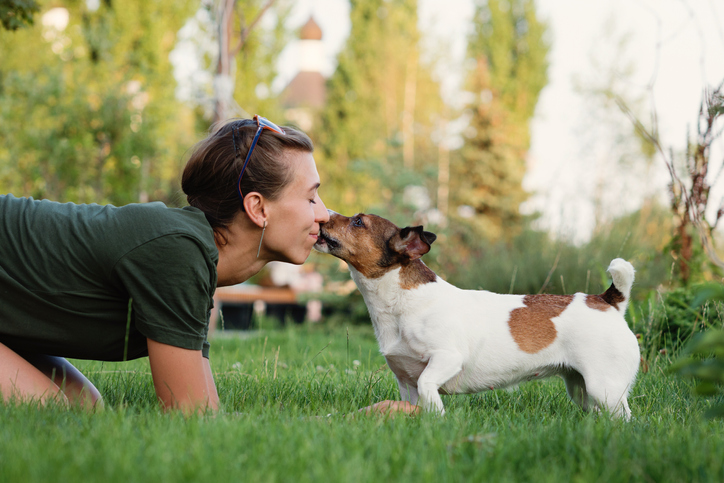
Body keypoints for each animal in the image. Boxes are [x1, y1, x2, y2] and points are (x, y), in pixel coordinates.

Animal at [314, 212, 640, 420]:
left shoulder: (447, 358)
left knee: (625, 418)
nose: (322, 212)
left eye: (358, 221)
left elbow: (428, 385)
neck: (400, 302)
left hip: (605, 388)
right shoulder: (405, 383)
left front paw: (437, 415)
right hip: (581, 388)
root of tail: (608, 300)